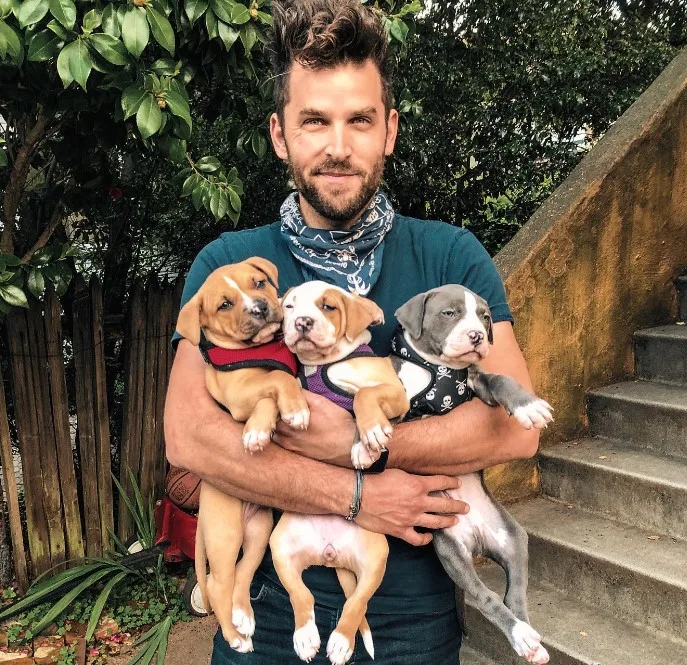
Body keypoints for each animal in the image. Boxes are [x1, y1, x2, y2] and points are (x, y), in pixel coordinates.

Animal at [176, 256, 310, 652]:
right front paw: (286, 415)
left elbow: (275, 385)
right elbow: (277, 381)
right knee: (218, 582)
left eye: (259, 283)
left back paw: (244, 619)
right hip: (225, 536)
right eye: (224, 304)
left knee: (242, 573)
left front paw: (262, 427)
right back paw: (236, 638)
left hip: (258, 532)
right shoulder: (236, 393)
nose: (260, 307)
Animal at [268, 280, 408, 664]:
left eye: (328, 306)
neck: (325, 365)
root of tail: (330, 554)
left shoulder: (396, 394)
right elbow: (280, 386)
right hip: (280, 547)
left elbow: (363, 398)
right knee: (303, 596)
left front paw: (368, 439)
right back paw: (306, 637)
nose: (301, 322)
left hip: (376, 558)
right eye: (289, 306)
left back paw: (342, 642)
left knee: (357, 603)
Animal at [392, 284, 552, 664]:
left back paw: (528, 640)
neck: (440, 368)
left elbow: (500, 379)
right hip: (451, 552)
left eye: (485, 316)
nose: (477, 335)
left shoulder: (478, 385)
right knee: (486, 597)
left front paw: (528, 406)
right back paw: (523, 637)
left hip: (513, 537)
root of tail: (477, 537)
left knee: (513, 596)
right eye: (449, 313)